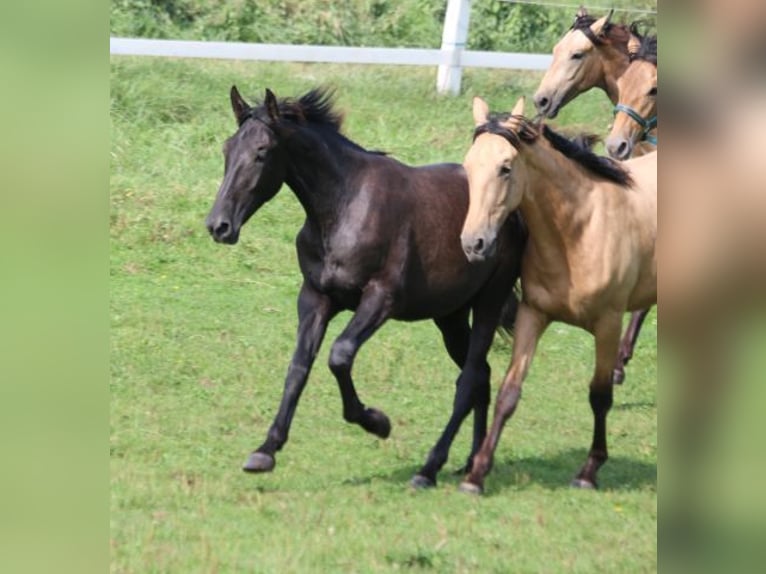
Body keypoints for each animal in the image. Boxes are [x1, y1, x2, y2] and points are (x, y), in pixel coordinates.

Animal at [204, 85, 528, 488]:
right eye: (227, 149)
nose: (219, 226)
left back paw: (431, 469)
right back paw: (471, 462)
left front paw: (376, 422)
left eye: (262, 151)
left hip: (488, 301)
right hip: (450, 316)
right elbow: (298, 366)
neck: (344, 208)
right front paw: (266, 450)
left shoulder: (380, 299)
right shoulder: (316, 298)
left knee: (470, 378)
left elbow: (339, 355)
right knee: (481, 375)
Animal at [460, 98, 656, 496]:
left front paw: (589, 471)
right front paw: (477, 474)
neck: (578, 231)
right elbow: (509, 392)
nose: (474, 244)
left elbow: (599, 396)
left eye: (505, 168)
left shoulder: (608, 324)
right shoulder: (533, 315)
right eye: (469, 166)